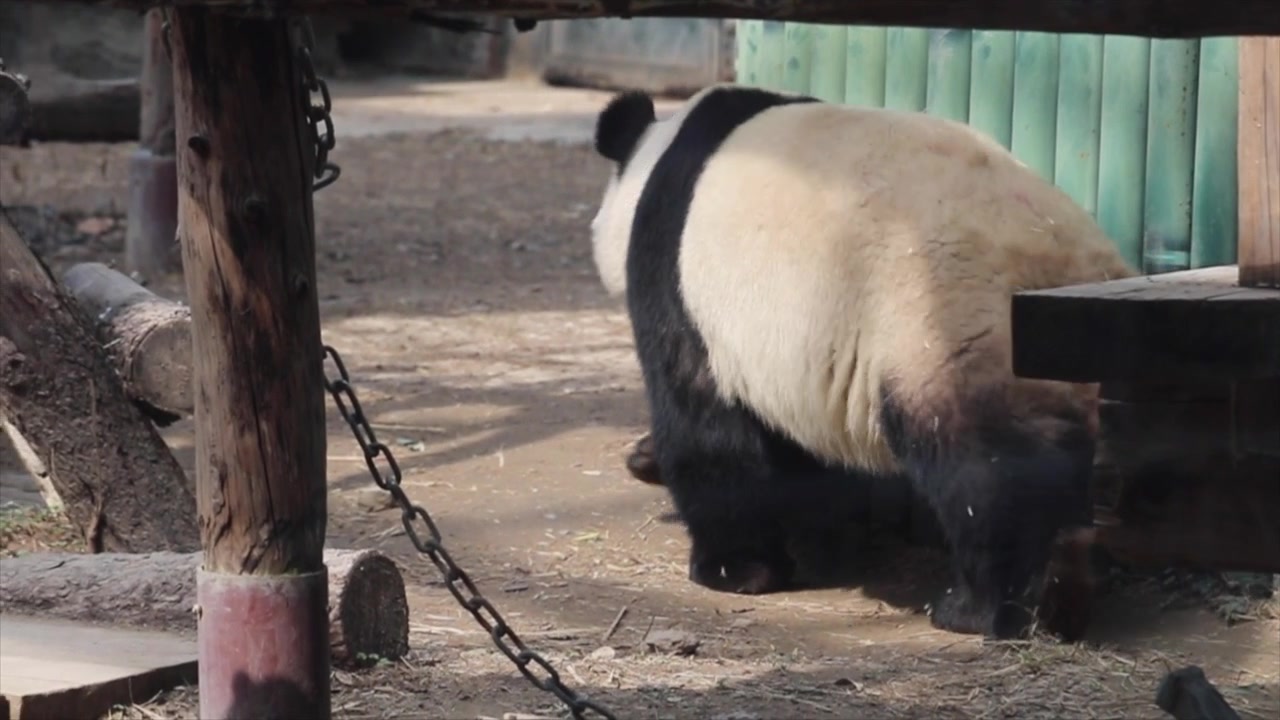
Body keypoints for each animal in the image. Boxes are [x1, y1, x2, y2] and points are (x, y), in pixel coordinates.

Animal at [588, 83, 1136, 642]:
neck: (656, 163)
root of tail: (1072, 265)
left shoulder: (684, 288)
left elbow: (704, 421)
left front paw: (735, 568)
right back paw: (1072, 586)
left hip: (939, 322)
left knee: (988, 471)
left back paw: (986, 606)